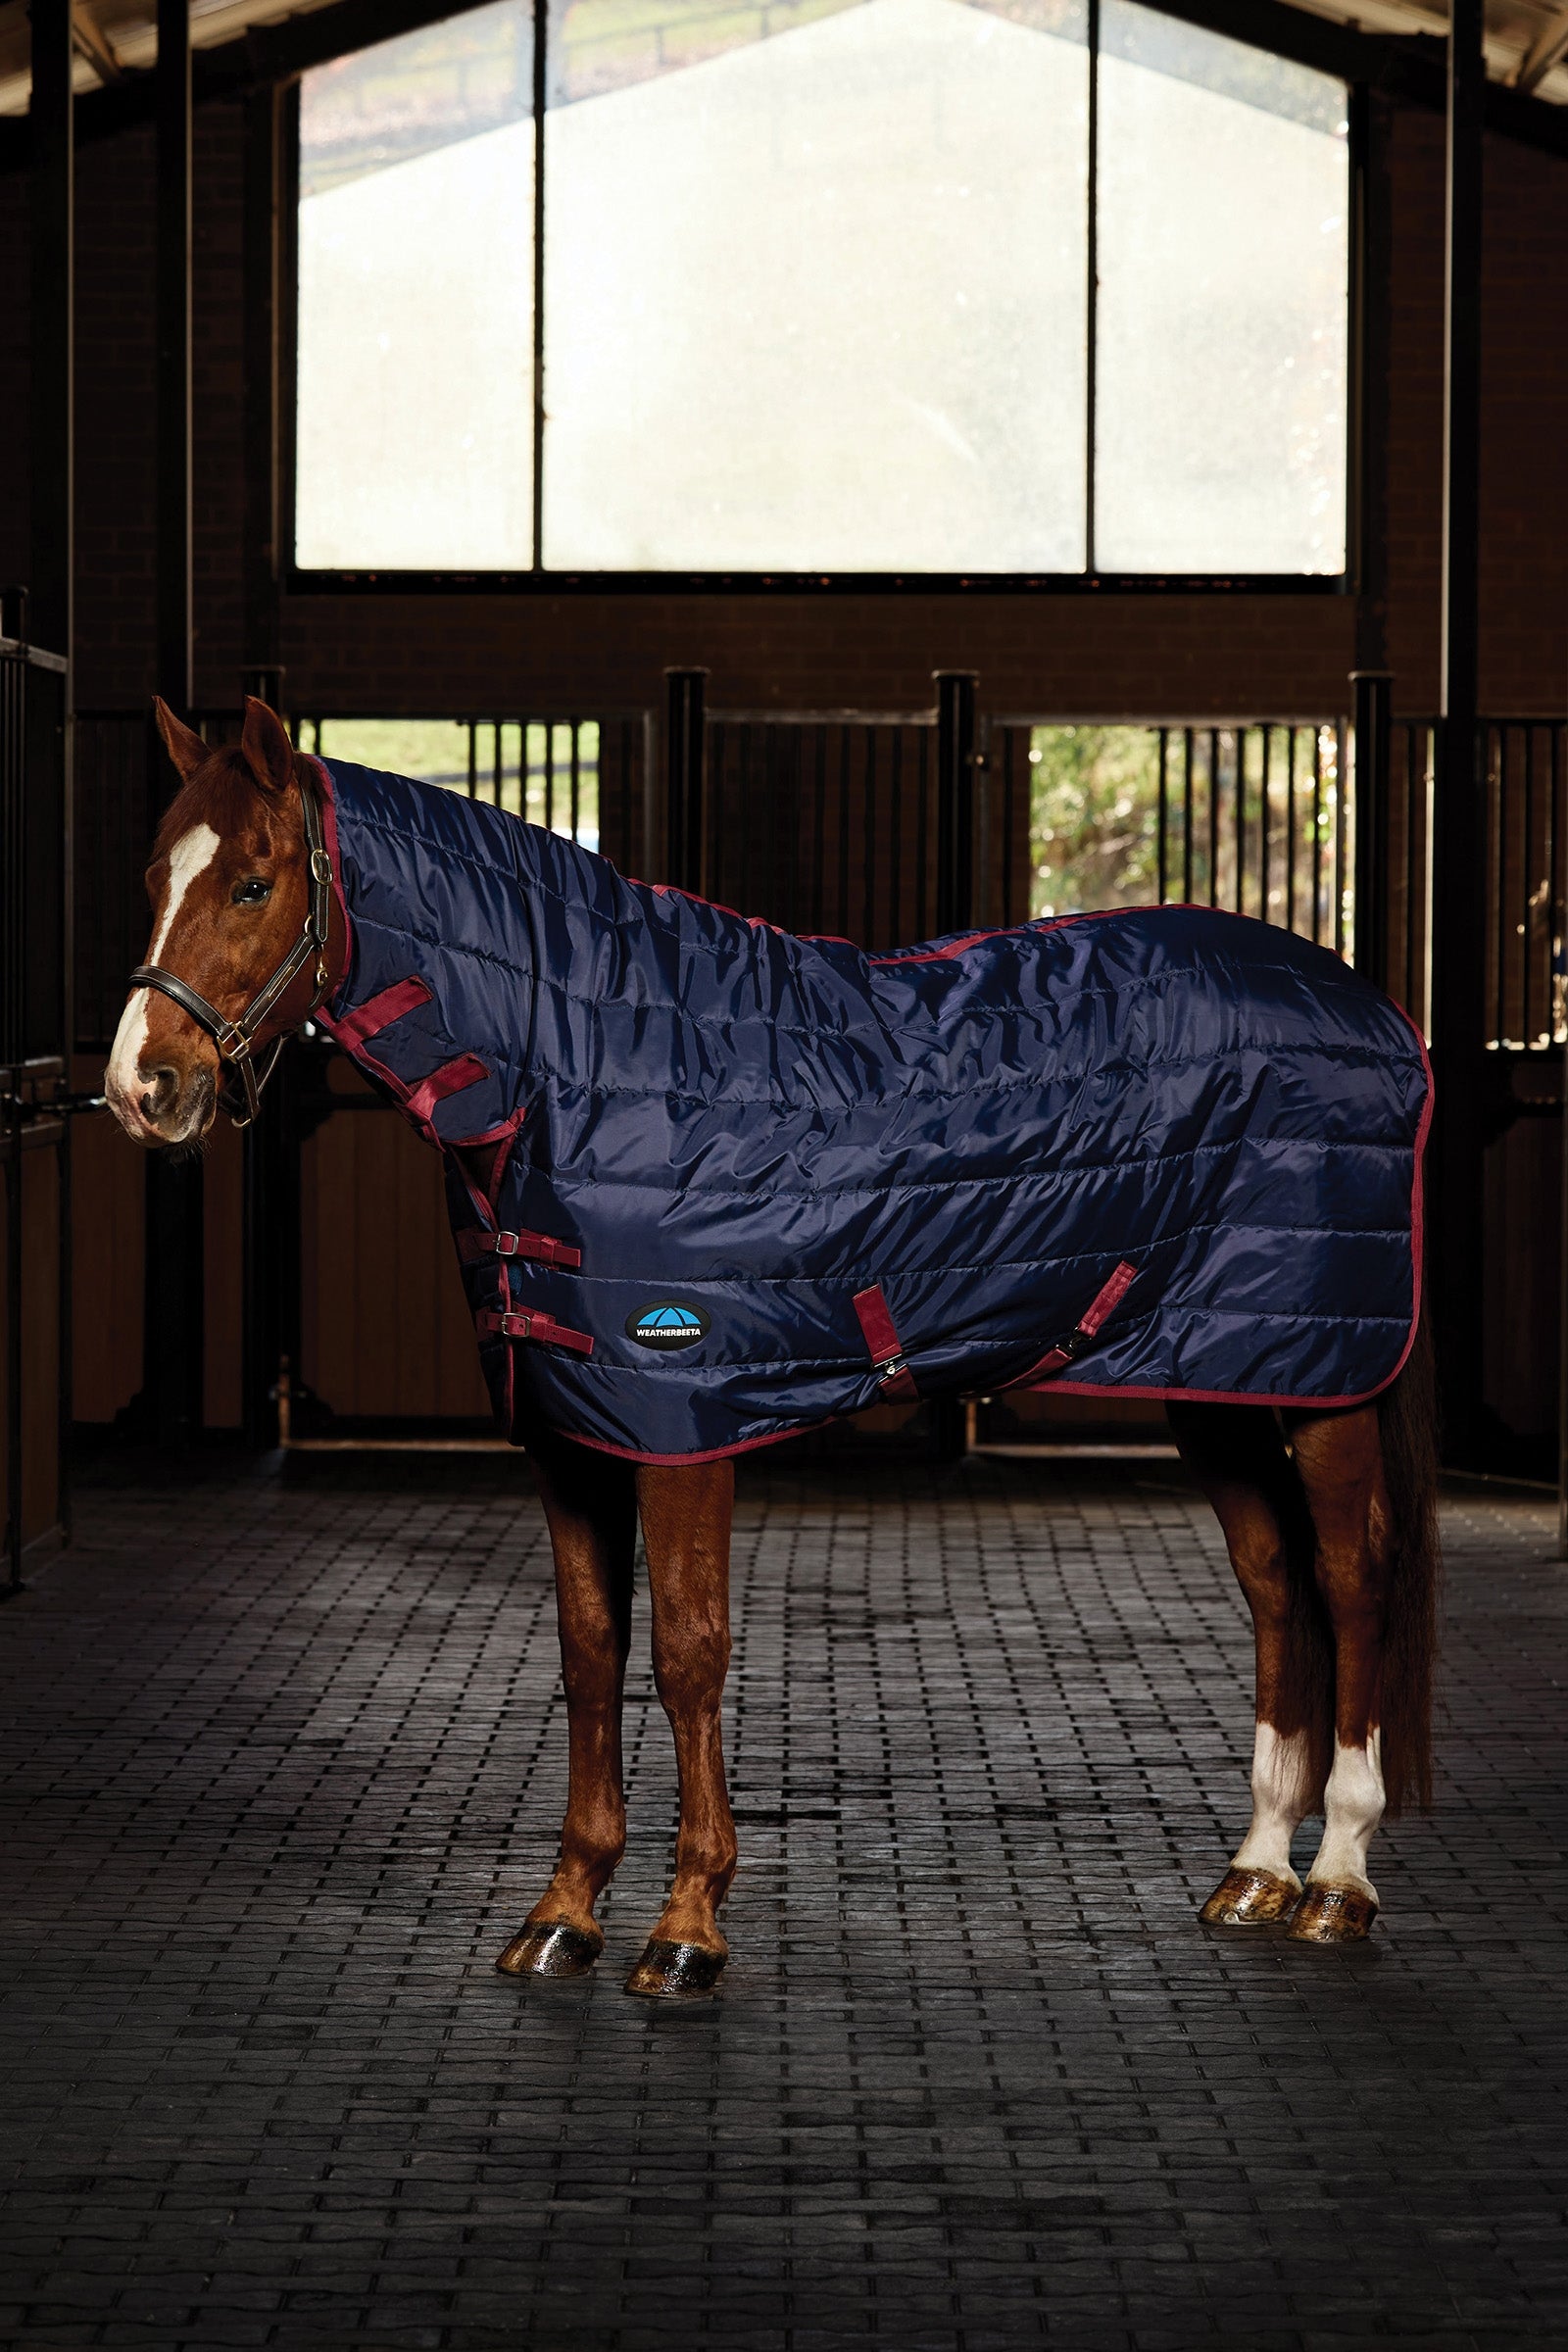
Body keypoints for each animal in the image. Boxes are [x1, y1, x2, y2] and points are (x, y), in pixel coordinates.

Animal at [104, 696, 1439, 1996]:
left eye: (252, 884)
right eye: (153, 877)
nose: (141, 1088)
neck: (576, 1064)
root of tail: (1369, 1007)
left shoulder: (682, 1420)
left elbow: (688, 1655)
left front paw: (687, 1926)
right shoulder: (571, 1432)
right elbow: (591, 1653)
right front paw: (564, 1912)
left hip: (1323, 1381)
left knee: (1350, 1580)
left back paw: (1337, 1881)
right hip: (1221, 1373)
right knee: (1274, 1585)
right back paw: (1254, 1872)